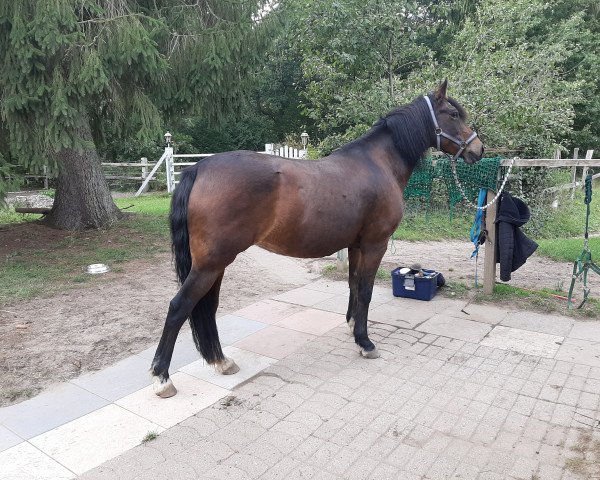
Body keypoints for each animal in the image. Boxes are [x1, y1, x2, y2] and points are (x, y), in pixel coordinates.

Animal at [149, 79, 482, 398]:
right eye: (453, 115)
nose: (478, 149)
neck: (379, 163)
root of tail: (198, 168)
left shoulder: (356, 245)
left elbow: (353, 285)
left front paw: (353, 326)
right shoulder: (375, 244)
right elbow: (366, 290)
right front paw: (365, 342)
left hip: (215, 264)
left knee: (208, 306)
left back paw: (220, 361)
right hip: (211, 263)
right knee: (179, 306)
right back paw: (162, 379)